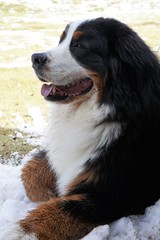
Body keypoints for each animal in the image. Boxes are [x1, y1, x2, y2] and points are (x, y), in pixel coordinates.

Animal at [3, 17, 160, 240]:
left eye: (78, 46)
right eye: (62, 40)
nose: (35, 58)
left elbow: (64, 210)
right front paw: (50, 194)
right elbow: (30, 171)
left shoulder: (116, 193)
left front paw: (20, 232)